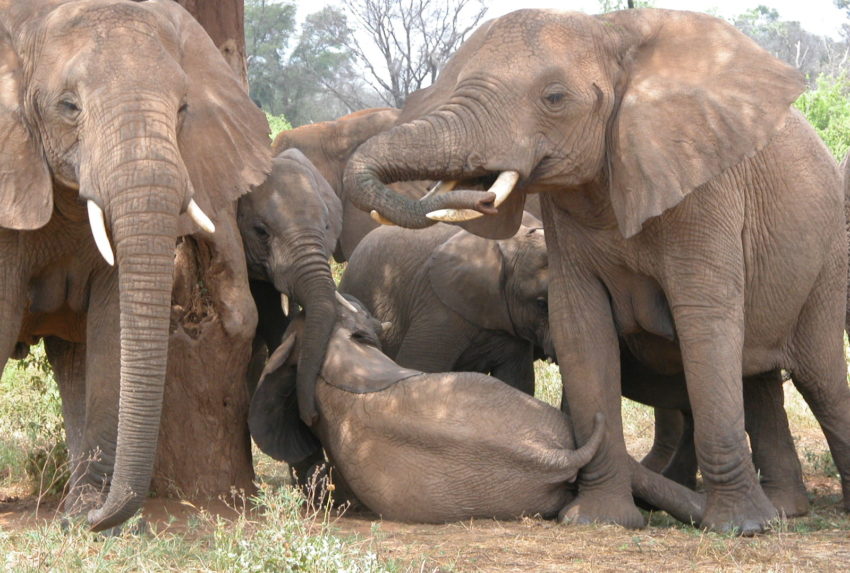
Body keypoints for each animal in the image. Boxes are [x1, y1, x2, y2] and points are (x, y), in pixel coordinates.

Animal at [0, 0, 268, 528]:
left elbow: (112, 331)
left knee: (72, 363)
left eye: (183, 109)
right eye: (69, 106)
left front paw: (86, 517)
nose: (95, 517)